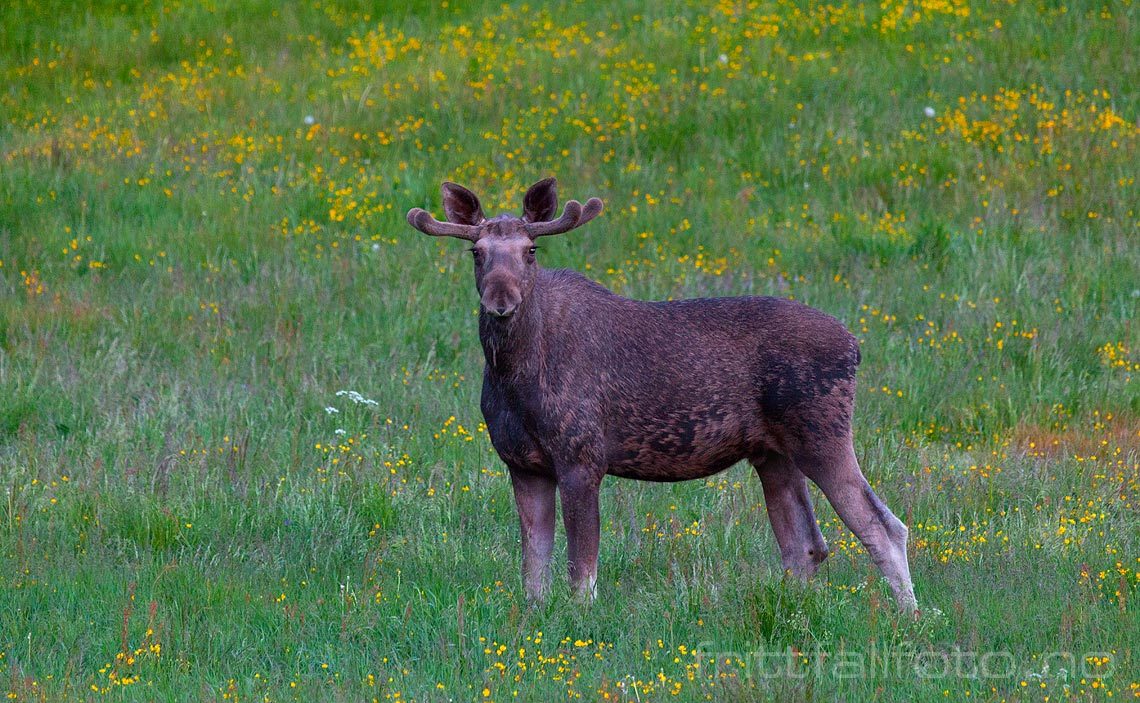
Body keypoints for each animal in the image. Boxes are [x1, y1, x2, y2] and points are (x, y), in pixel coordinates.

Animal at [408, 177, 916, 610]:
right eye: (476, 252)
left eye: (531, 249)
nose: (501, 300)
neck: (515, 378)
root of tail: (854, 347)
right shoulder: (522, 464)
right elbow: (534, 573)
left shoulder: (582, 457)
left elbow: (581, 571)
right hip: (773, 454)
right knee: (805, 545)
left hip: (822, 434)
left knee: (884, 526)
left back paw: (910, 616)